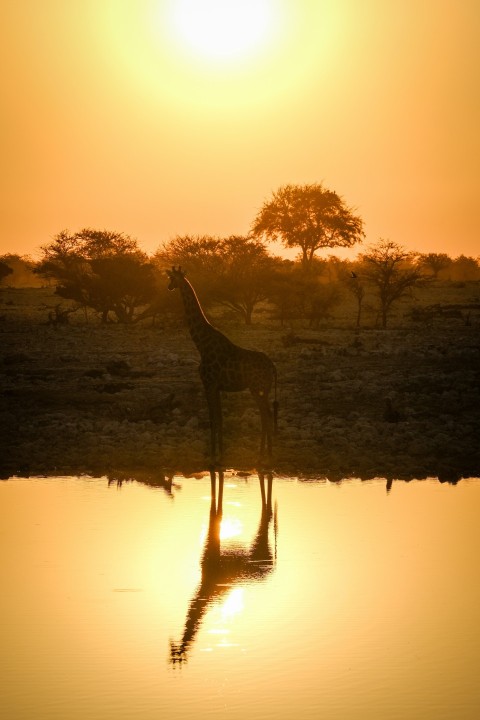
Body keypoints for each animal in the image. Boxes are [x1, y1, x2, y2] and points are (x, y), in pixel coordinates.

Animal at [166, 266, 278, 462]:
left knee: (266, 414)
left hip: (257, 388)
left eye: (173, 278)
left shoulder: (208, 384)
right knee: (267, 414)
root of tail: (272, 366)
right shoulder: (217, 387)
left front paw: (212, 454)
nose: (169, 287)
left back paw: (265, 455)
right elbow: (219, 419)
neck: (201, 344)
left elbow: (212, 419)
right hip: (262, 389)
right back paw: (264, 453)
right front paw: (221, 452)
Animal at [170, 469, 276, 664]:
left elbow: (215, 514)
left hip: (260, 544)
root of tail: (271, 566)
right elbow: (216, 507)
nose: (172, 643)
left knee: (267, 513)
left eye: (176, 656)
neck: (206, 585)